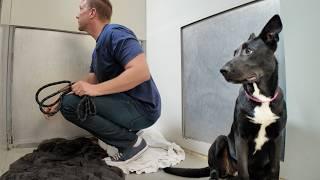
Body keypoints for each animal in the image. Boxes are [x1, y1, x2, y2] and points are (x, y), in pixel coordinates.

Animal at [164, 14, 286, 180]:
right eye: (234, 53)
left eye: (248, 51)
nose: (222, 70)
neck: (262, 99)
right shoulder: (241, 137)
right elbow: (243, 170)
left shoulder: (277, 138)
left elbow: (275, 168)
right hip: (220, 140)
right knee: (215, 170)